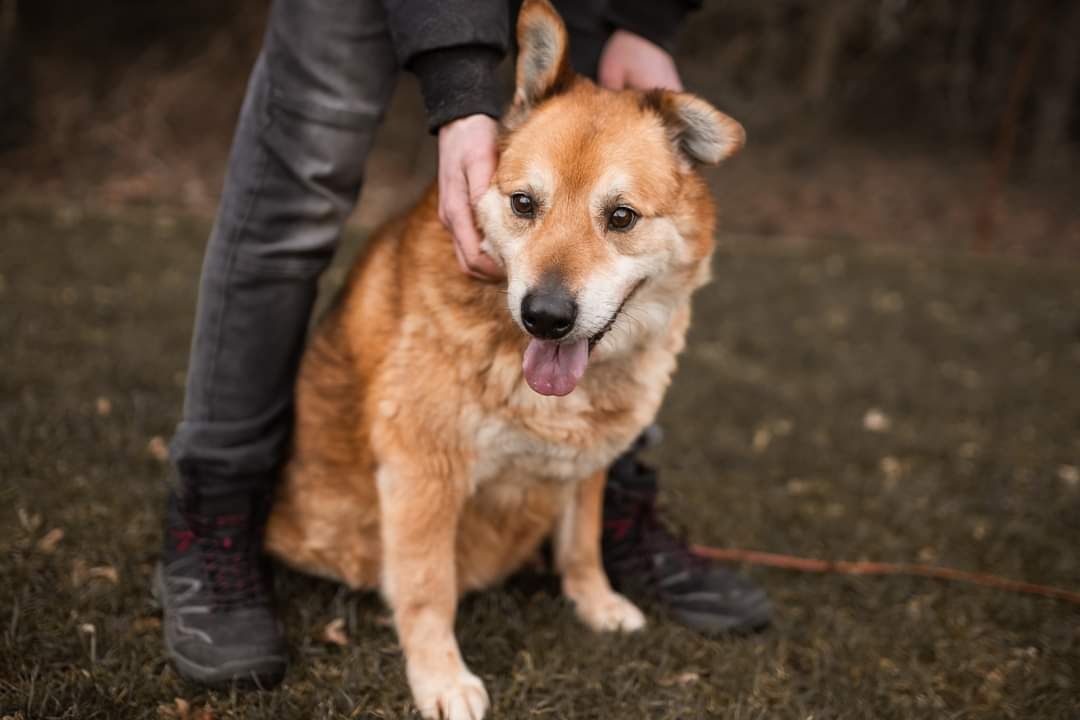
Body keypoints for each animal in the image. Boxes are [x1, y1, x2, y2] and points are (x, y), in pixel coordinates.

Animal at [265, 2, 747, 716]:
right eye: (524, 203)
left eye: (621, 217)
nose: (544, 316)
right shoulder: (423, 468)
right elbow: (428, 587)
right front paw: (440, 678)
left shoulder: (587, 459)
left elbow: (581, 543)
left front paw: (597, 604)